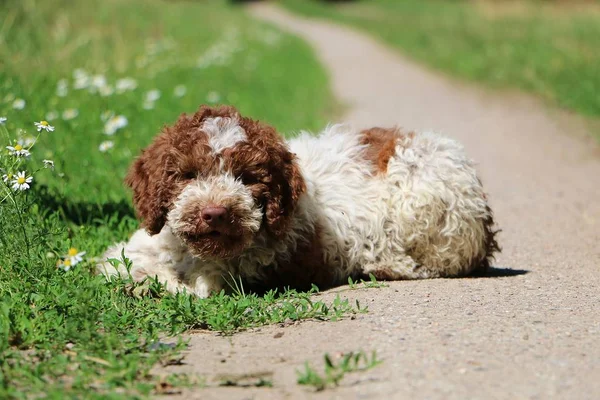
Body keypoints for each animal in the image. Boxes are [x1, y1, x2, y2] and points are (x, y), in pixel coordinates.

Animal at [98, 105, 500, 296]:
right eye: (188, 175)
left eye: (247, 178)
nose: (215, 213)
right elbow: (116, 262)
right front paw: (140, 275)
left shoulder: (239, 271)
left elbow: (191, 287)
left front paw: (159, 283)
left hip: (423, 203)